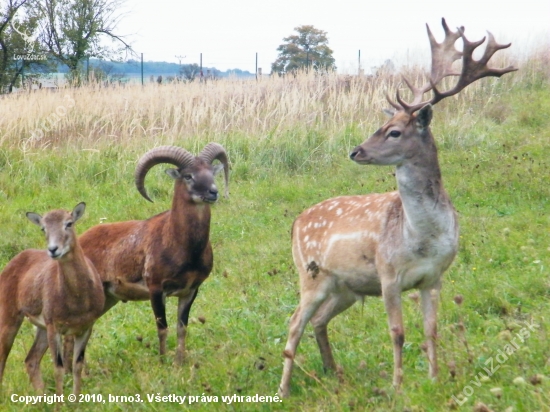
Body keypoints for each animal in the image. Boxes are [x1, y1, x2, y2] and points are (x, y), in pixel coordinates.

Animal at [280, 18, 516, 396]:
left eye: (393, 131)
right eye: (382, 126)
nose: (356, 151)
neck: (420, 237)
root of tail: (295, 223)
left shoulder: (434, 277)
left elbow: (431, 330)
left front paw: (434, 379)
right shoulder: (388, 273)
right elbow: (397, 332)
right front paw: (398, 385)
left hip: (344, 287)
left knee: (317, 320)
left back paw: (334, 373)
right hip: (311, 274)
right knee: (293, 323)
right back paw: (284, 389)